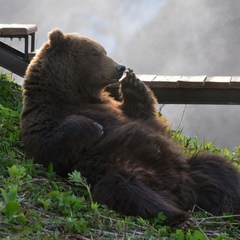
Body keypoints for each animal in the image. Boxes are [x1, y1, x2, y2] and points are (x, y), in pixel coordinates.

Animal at [20, 29, 240, 230]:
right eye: (95, 53)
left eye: (103, 50)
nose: (119, 67)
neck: (72, 94)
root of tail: (180, 191)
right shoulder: (41, 116)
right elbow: (48, 147)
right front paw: (95, 127)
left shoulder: (117, 110)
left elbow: (146, 119)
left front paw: (133, 84)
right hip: (121, 173)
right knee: (131, 193)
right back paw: (182, 219)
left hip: (190, 168)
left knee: (220, 169)